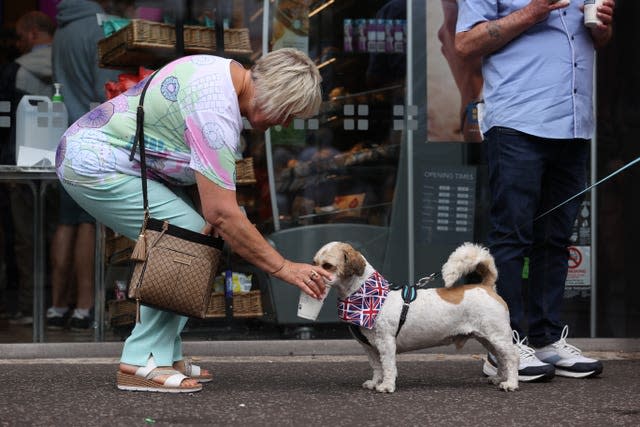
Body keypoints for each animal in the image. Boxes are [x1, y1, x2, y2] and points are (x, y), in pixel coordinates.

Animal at [312, 242, 516, 392]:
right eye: (314, 262)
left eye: (327, 266)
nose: (312, 275)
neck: (366, 296)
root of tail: (486, 286)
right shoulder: (369, 347)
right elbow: (377, 367)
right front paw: (376, 382)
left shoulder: (386, 343)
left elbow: (388, 366)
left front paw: (386, 386)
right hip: (488, 339)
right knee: (501, 359)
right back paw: (499, 378)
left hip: (498, 336)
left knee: (512, 357)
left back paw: (511, 383)